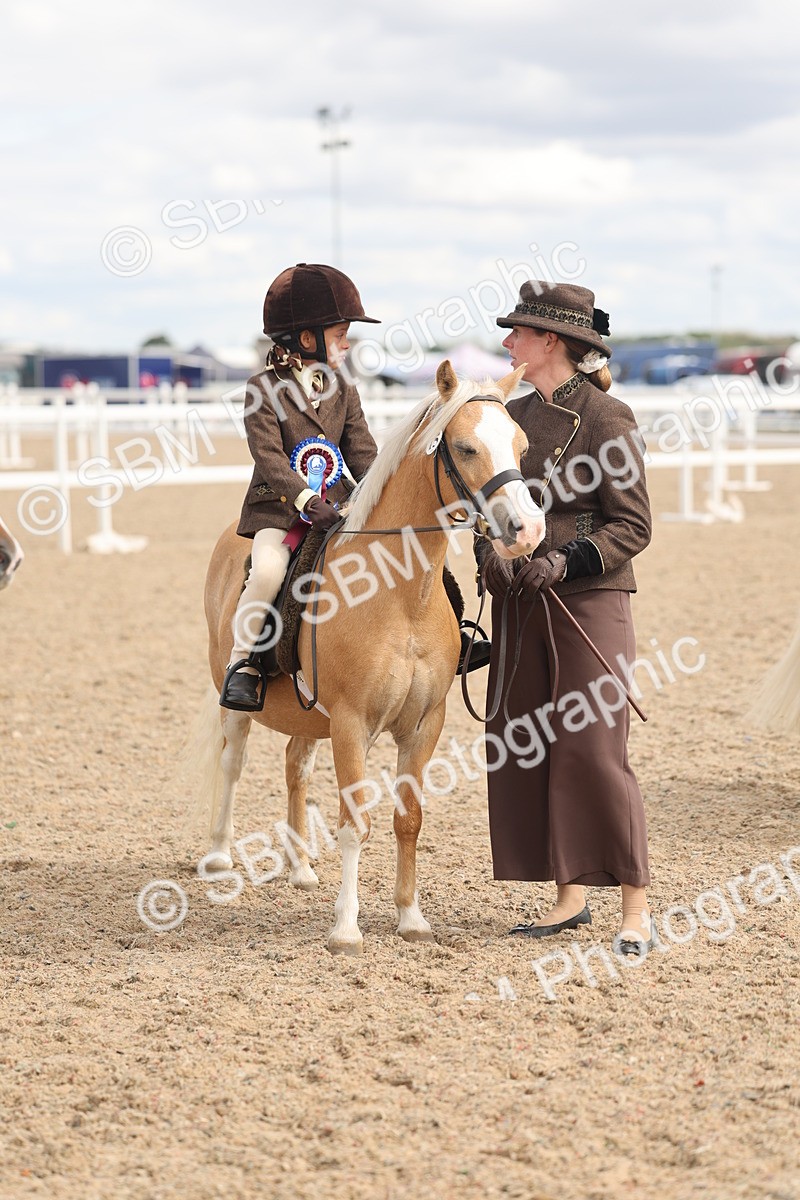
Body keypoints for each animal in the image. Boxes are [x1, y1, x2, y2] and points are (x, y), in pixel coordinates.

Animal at [195, 360, 546, 953]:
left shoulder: (424, 725)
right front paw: (345, 930)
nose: (528, 531)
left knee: (295, 765)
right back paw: (220, 857)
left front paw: (411, 918)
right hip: (238, 699)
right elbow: (354, 822)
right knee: (232, 759)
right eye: (466, 448)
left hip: (312, 719)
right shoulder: (352, 723)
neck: (399, 595)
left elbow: (409, 820)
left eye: (521, 446)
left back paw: (299, 868)